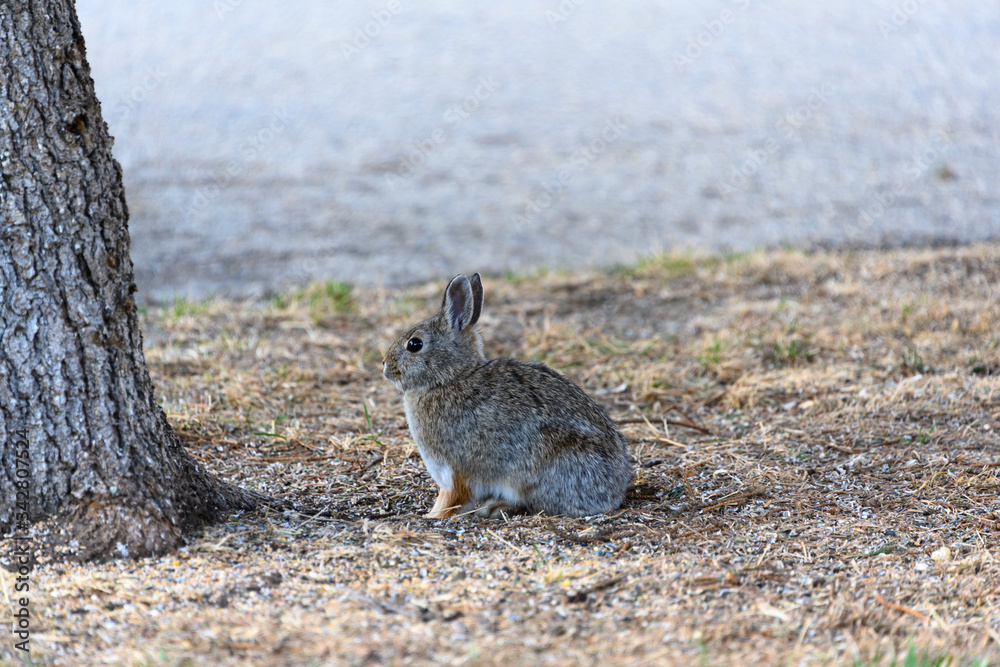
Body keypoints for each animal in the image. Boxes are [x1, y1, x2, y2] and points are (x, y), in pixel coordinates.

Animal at [382, 272, 633, 519]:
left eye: (415, 344)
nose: (384, 366)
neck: (451, 378)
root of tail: (614, 492)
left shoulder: (454, 471)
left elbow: (452, 499)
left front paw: (433, 516)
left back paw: (495, 506)